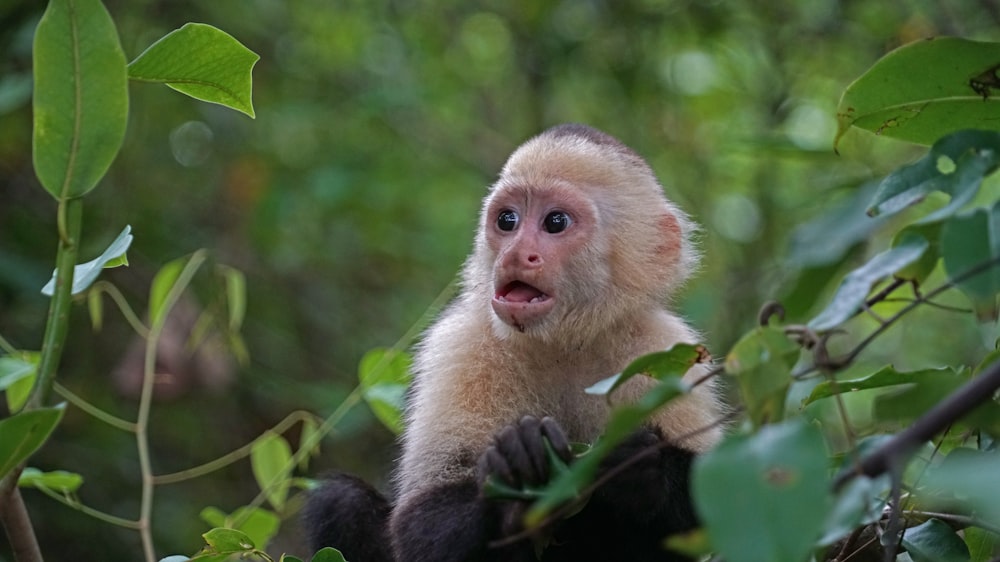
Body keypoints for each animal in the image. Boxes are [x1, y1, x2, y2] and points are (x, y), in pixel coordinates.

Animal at [300, 124, 724, 560]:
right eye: (508, 220)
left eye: (555, 221)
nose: (516, 253)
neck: (564, 342)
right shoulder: (460, 345)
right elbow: (421, 523)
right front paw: (517, 479)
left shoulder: (666, 347)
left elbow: (710, 506)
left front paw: (643, 464)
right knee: (339, 499)